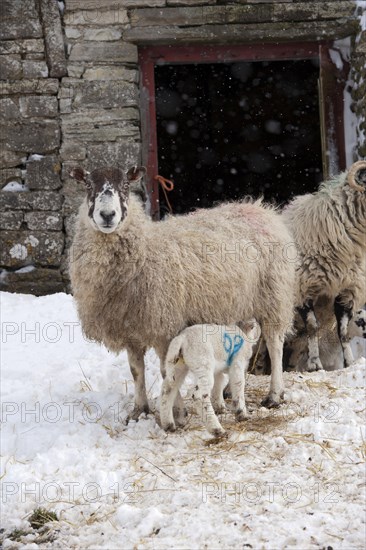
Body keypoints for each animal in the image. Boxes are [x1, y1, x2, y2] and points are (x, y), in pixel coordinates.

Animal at [69, 166, 298, 424]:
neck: (144, 249)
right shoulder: (132, 329)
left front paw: (176, 413)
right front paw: (139, 410)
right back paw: (228, 392)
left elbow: (166, 371)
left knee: (274, 343)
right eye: (88, 185)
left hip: (273, 295)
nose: (107, 215)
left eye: (125, 186)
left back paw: (274, 395)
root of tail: (260, 208)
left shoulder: (165, 325)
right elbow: (136, 371)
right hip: (238, 302)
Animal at [282, 162, 364, 374]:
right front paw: (315, 364)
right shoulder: (302, 289)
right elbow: (312, 327)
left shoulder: (347, 291)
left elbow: (343, 332)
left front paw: (349, 363)